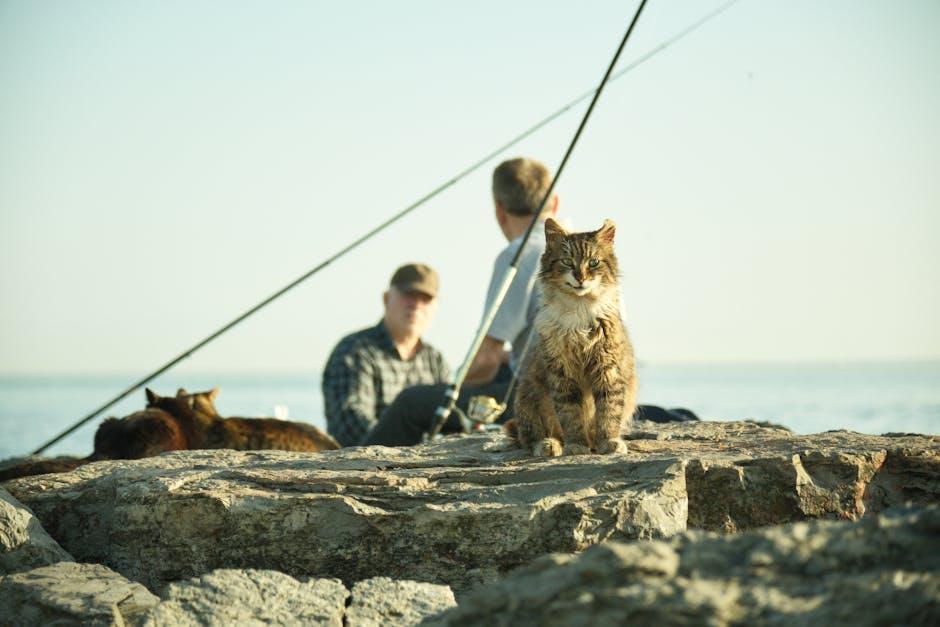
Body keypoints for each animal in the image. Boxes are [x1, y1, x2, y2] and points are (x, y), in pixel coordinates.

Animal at [506, 220, 640, 456]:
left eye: (593, 263)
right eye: (567, 261)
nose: (581, 277)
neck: (579, 308)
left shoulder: (608, 368)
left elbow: (608, 412)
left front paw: (609, 442)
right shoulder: (562, 372)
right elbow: (571, 415)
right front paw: (577, 445)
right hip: (527, 398)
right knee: (531, 437)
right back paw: (549, 445)